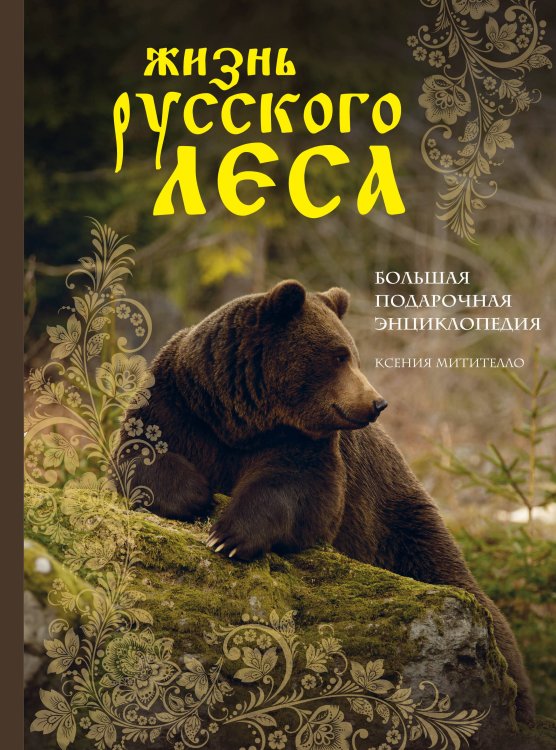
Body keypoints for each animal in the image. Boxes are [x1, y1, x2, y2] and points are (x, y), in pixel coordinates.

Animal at [117, 279, 533, 725]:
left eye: (351, 352)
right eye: (339, 355)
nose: (377, 402)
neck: (241, 416)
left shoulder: (302, 442)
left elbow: (301, 490)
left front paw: (228, 534)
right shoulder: (180, 404)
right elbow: (140, 454)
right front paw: (195, 495)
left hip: (397, 520)